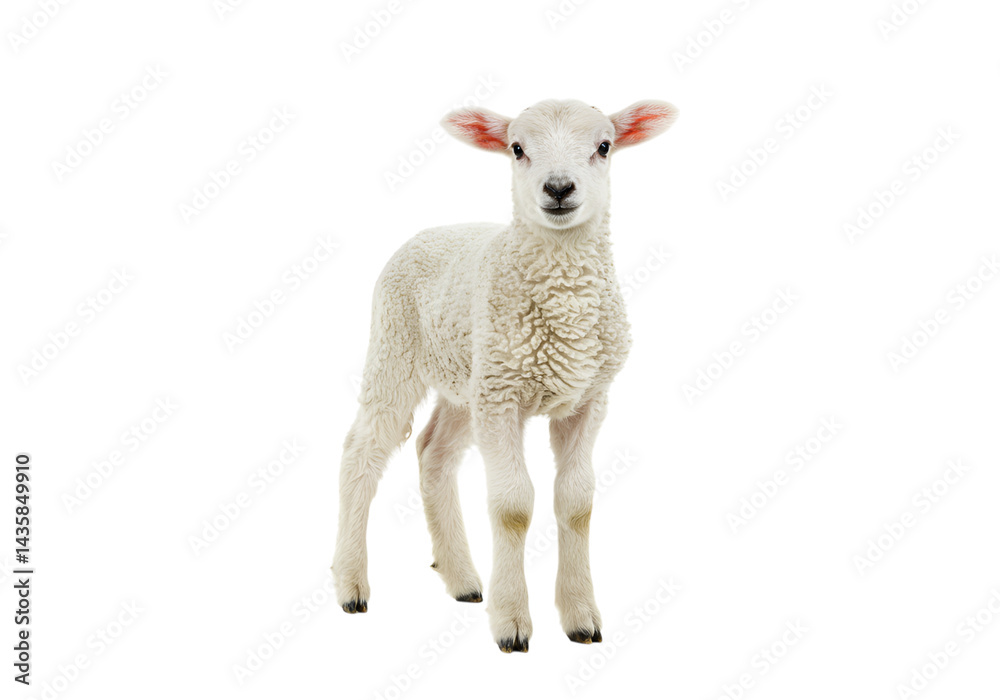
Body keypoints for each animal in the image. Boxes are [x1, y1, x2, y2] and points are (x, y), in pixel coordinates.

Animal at [332, 98, 678, 653]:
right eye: (517, 148)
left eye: (604, 146)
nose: (558, 188)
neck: (564, 297)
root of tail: (430, 230)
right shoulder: (503, 398)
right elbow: (513, 506)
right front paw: (512, 621)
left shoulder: (587, 398)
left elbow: (576, 502)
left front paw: (580, 617)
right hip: (396, 348)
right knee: (361, 453)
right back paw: (351, 584)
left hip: (466, 378)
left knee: (433, 451)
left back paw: (463, 580)